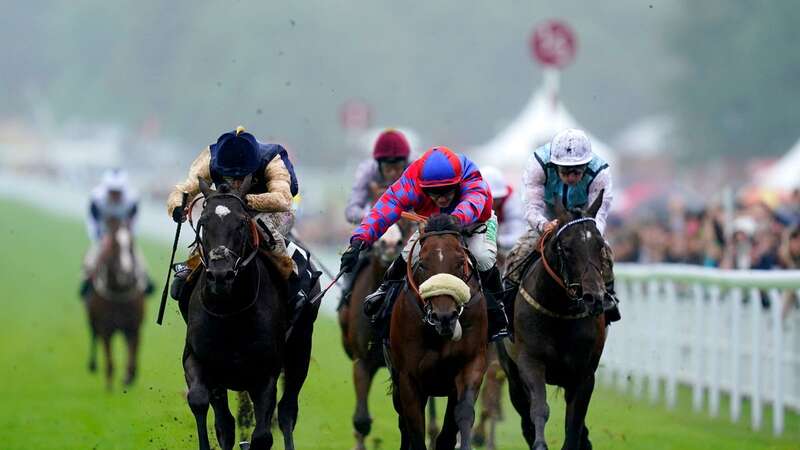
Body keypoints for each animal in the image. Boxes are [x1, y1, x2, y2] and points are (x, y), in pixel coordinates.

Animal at [87, 216, 148, 388]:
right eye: (114, 245)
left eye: (132, 244)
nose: (126, 274)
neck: (120, 290)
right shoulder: (106, 329)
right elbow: (110, 362)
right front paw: (109, 385)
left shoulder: (134, 327)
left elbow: (133, 356)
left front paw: (128, 377)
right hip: (93, 321)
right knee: (93, 335)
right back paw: (92, 365)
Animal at [183, 179, 320, 450]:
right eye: (203, 222)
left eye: (241, 223)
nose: (220, 275)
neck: (230, 312)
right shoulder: (198, 359)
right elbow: (203, 404)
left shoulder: (265, 374)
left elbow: (262, 435)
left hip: (300, 350)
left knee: (287, 411)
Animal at [388, 214, 488, 450]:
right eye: (423, 264)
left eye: (460, 262)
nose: (444, 317)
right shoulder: (408, 378)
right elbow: (415, 430)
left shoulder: (472, 363)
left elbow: (461, 417)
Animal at [500, 192, 608, 450]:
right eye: (566, 248)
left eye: (599, 245)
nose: (595, 298)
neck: (560, 313)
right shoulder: (530, 362)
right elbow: (539, 408)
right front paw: (540, 444)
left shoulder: (584, 374)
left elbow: (575, 424)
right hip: (511, 374)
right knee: (525, 414)